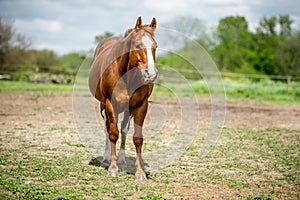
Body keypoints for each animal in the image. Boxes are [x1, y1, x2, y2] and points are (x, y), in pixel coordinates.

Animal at [89, 16, 158, 180]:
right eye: (137, 45)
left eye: (155, 46)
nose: (151, 75)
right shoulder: (110, 104)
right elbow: (113, 133)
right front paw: (113, 167)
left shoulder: (141, 106)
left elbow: (137, 138)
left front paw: (139, 172)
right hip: (103, 106)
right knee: (107, 129)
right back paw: (106, 159)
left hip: (128, 110)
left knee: (124, 129)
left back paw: (122, 160)